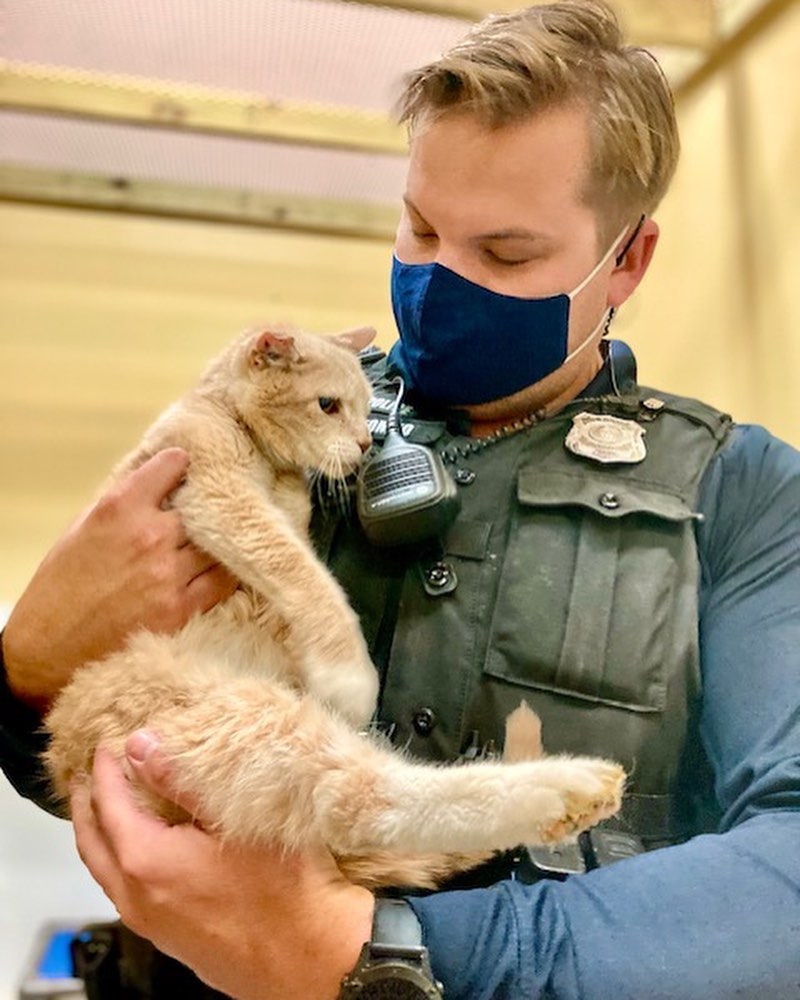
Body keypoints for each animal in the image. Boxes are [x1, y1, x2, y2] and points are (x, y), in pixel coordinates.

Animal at [43, 326, 624, 892]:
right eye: (328, 405)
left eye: (366, 405)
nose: (367, 442)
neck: (235, 421)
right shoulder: (220, 495)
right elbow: (307, 580)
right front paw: (347, 674)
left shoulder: (282, 513)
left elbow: (304, 571)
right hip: (242, 722)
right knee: (366, 800)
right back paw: (568, 788)